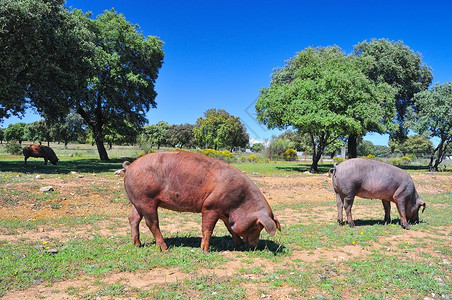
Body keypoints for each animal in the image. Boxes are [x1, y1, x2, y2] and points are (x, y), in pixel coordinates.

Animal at [122, 151, 280, 252]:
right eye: (257, 226)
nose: (254, 246)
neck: (240, 200)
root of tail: (129, 166)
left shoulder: (223, 212)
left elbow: (230, 228)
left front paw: (239, 245)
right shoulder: (210, 206)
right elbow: (208, 228)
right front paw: (205, 250)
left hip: (137, 200)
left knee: (133, 218)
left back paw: (137, 245)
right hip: (146, 199)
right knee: (152, 223)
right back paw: (164, 249)